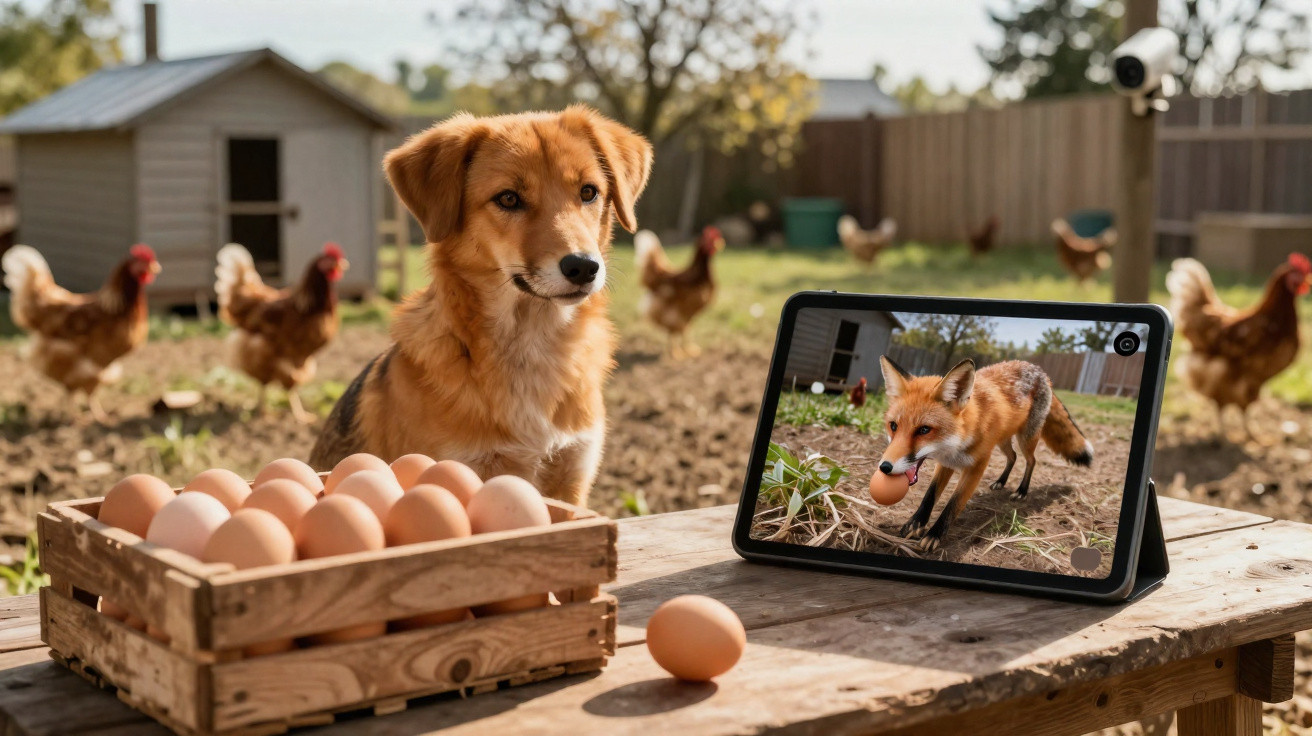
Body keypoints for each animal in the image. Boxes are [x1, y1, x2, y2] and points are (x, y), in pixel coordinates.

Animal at [877, 355, 1094, 552]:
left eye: (923, 430)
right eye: (893, 426)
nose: (885, 467)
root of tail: (1040, 371)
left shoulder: (977, 466)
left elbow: (954, 504)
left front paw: (934, 535)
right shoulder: (946, 462)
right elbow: (930, 495)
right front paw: (916, 523)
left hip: (1026, 439)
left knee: (1031, 460)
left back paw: (1022, 490)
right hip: (1003, 441)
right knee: (1013, 457)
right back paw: (1001, 481)